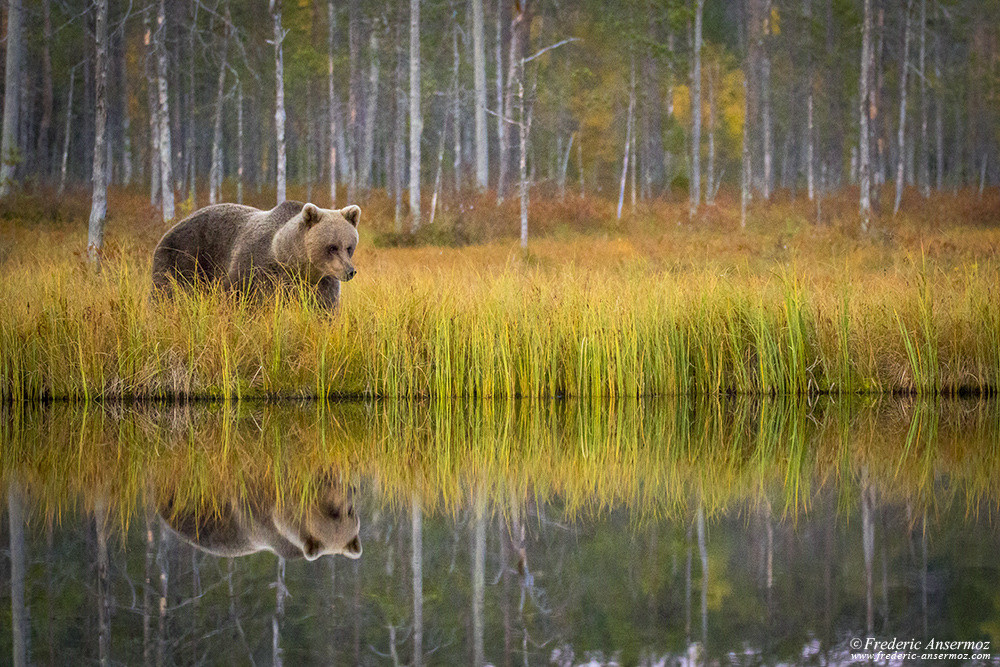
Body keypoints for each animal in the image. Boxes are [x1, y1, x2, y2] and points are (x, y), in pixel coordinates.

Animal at [150, 200, 362, 312]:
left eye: (349, 247)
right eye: (332, 247)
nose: (350, 271)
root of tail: (167, 230)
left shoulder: (322, 283)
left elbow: (324, 312)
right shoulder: (254, 269)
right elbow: (240, 299)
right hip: (182, 259)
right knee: (165, 295)